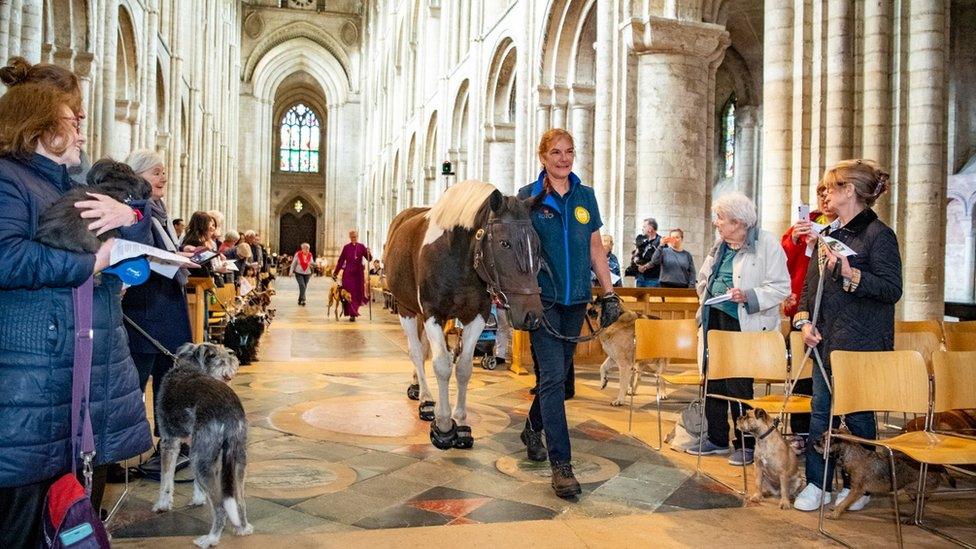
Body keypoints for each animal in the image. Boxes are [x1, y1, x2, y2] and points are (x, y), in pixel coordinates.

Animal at [152, 340, 252, 544]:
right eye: (217, 356)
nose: (234, 355)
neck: (188, 367)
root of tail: (229, 410)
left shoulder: (169, 442)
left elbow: (166, 479)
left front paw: (162, 505)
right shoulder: (193, 444)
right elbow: (196, 481)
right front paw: (198, 498)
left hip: (201, 459)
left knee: (221, 507)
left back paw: (211, 539)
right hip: (236, 459)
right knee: (239, 501)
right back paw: (243, 529)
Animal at [386, 182, 544, 448]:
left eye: (537, 244)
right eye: (504, 243)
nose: (532, 315)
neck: (458, 259)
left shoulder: (476, 316)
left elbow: (463, 368)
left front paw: (460, 423)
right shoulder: (433, 314)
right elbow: (442, 365)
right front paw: (443, 425)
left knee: (424, 350)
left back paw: (418, 386)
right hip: (407, 308)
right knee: (416, 352)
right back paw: (426, 399)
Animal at [808, 428, 952, 520]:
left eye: (824, 439)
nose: (813, 441)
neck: (851, 454)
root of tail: (937, 465)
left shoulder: (856, 490)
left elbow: (845, 502)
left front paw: (836, 513)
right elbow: (844, 501)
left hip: (914, 489)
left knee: (923, 503)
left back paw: (912, 518)